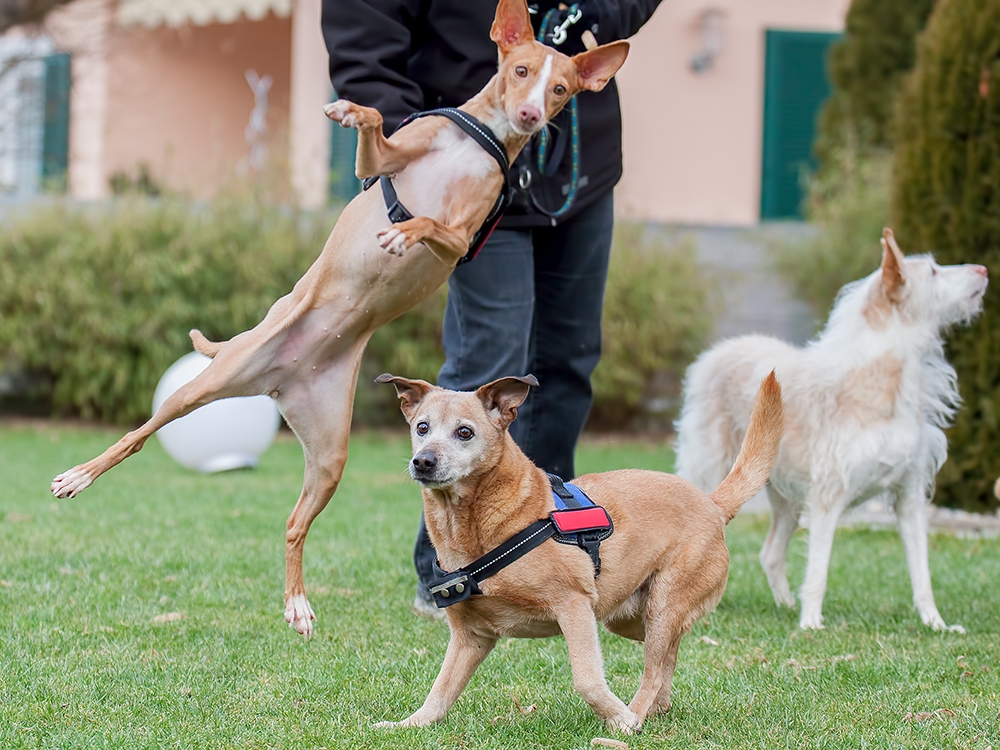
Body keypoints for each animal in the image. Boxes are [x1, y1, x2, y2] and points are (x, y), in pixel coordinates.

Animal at [50, 0, 628, 640]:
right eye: (521, 70)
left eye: (560, 89)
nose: (530, 114)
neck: (482, 142)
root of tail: (279, 373)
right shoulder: (383, 161)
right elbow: (376, 124)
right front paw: (350, 110)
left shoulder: (460, 238)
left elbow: (433, 224)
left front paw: (404, 231)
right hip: (204, 386)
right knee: (136, 436)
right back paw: (79, 475)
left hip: (329, 458)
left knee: (292, 525)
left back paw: (297, 604)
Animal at [376, 372, 780, 736]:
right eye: (422, 427)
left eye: (465, 432)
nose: (423, 461)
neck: (473, 528)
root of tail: (712, 504)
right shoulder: (470, 637)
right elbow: (440, 691)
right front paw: (409, 724)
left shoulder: (573, 606)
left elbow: (587, 679)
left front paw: (620, 719)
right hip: (632, 618)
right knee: (667, 661)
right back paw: (655, 708)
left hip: (662, 606)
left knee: (653, 671)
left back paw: (634, 716)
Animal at [676, 226, 988, 632]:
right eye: (934, 272)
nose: (984, 269)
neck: (883, 386)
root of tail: (717, 352)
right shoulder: (828, 496)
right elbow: (819, 569)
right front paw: (811, 623)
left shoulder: (910, 497)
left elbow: (921, 571)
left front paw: (934, 622)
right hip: (713, 473)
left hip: (783, 496)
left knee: (770, 552)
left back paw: (784, 604)